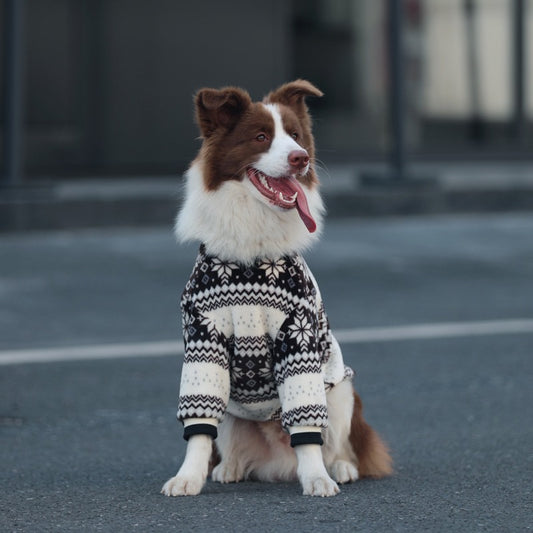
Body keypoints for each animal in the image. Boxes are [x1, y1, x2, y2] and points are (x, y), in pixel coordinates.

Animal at [162, 80, 390, 498]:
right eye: (261, 137)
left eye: (296, 136)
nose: (301, 158)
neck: (251, 253)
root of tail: (279, 461)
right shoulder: (203, 337)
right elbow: (199, 428)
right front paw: (188, 477)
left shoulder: (298, 335)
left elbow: (308, 429)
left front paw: (317, 478)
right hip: (235, 413)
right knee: (232, 443)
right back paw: (230, 467)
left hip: (341, 389)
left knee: (338, 442)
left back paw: (340, 467)